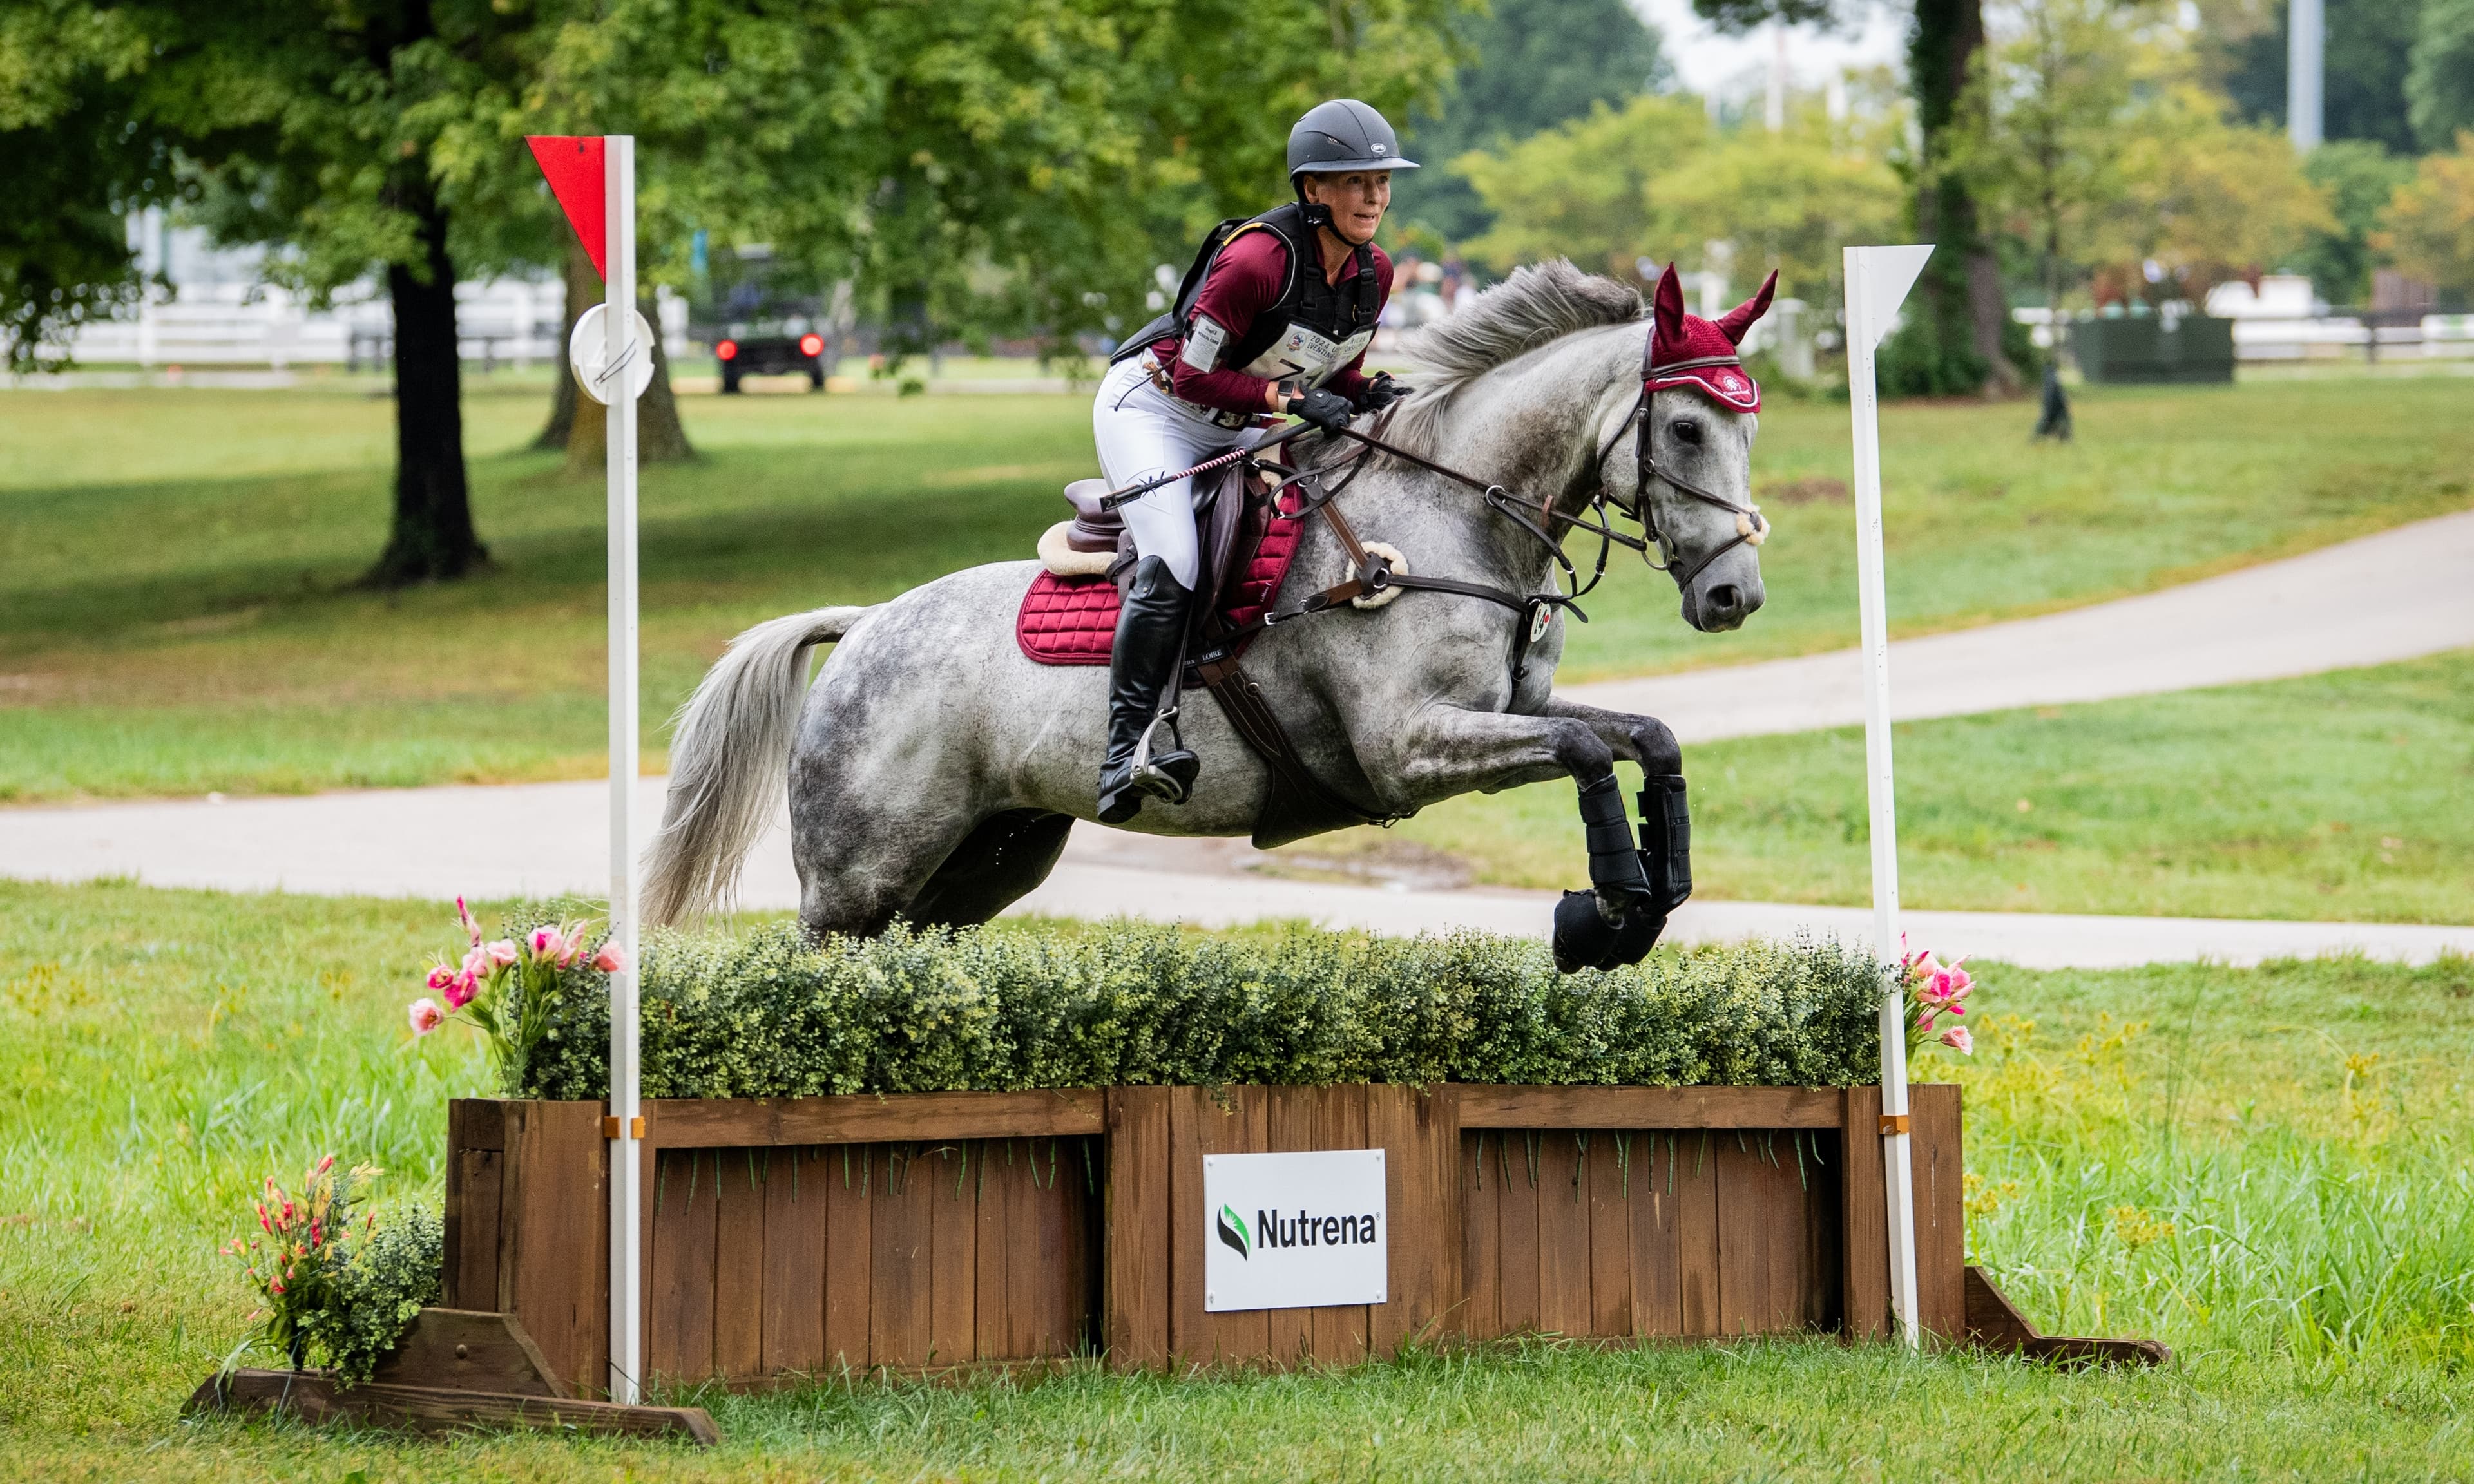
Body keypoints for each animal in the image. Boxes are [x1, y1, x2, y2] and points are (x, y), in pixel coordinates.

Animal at [645, 260, 1771, 970]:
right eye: (1684, 427)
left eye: (1746, 432)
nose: (1736, 597)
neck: (1454, 510)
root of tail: (866, 624)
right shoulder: (1411, 746)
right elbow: (1584, 752)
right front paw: (1608, 910)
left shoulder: (1510, 715)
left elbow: (1646, 737)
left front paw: (1649, 895)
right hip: (855, 879)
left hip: (986, 859)